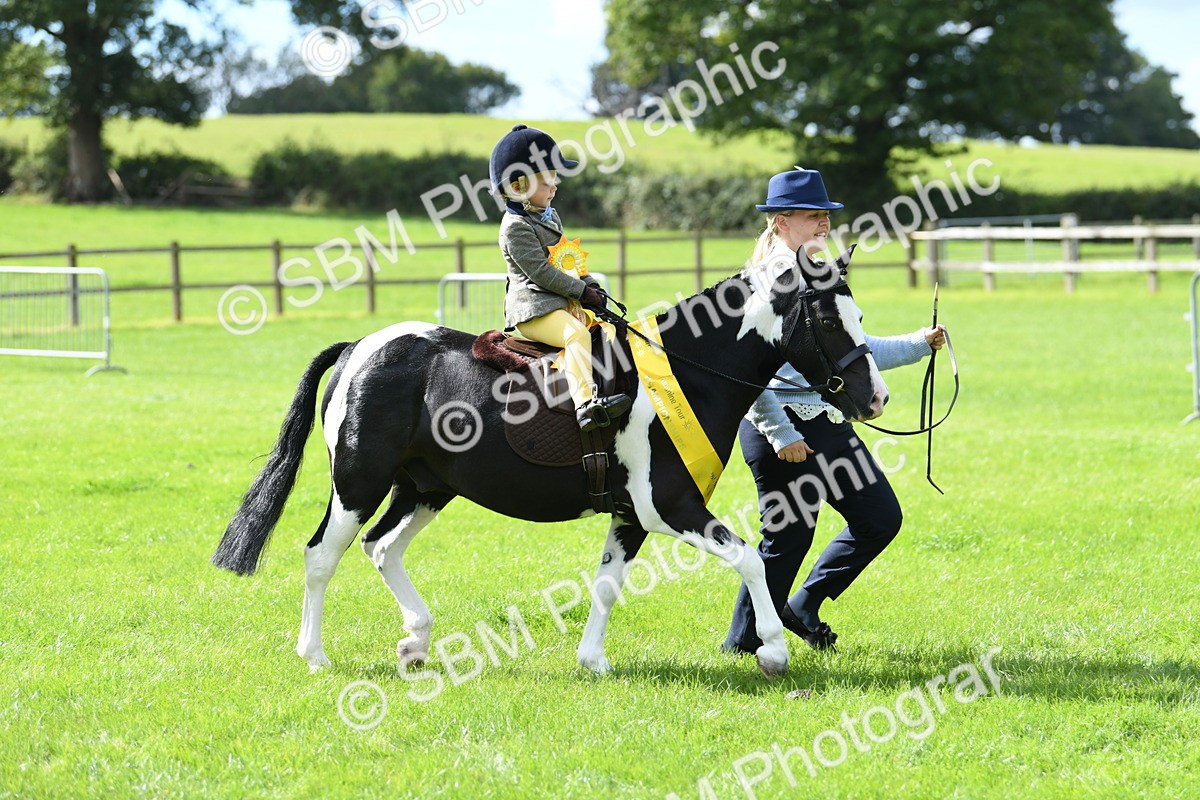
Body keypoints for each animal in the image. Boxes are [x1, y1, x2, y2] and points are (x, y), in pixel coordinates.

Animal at [211, 246, 889, 678]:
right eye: (829, 318)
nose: (875, 397)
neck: (686, 372)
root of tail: (360, 348)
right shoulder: (669, 507)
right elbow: (750, 558)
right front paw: (773, 652)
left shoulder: (633, 516)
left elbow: (609, 583)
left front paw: (593, 661)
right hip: (359, 484)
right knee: (321, 556)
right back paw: (316, 655)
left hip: (425, 489)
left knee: (382, 547)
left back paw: (416, 641)